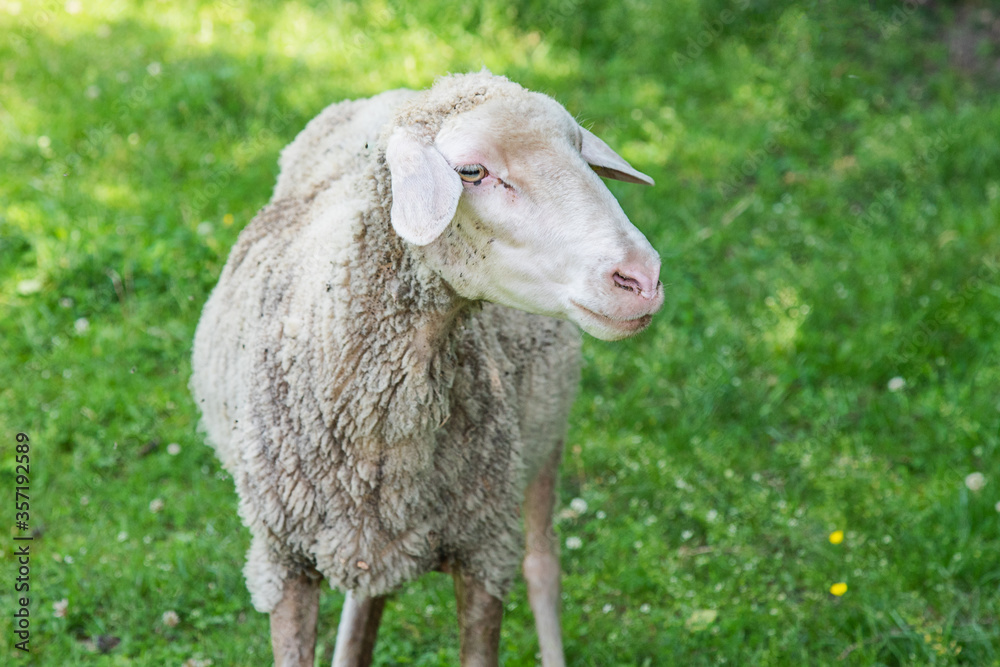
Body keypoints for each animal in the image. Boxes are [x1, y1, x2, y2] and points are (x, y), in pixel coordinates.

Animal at [190, 71, 664, 667]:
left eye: (579, 149)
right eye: (472, 171)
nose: (642, 278)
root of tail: (396, 89)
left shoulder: (485, 553)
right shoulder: (282, 563)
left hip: (547, 431)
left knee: (542, 567)